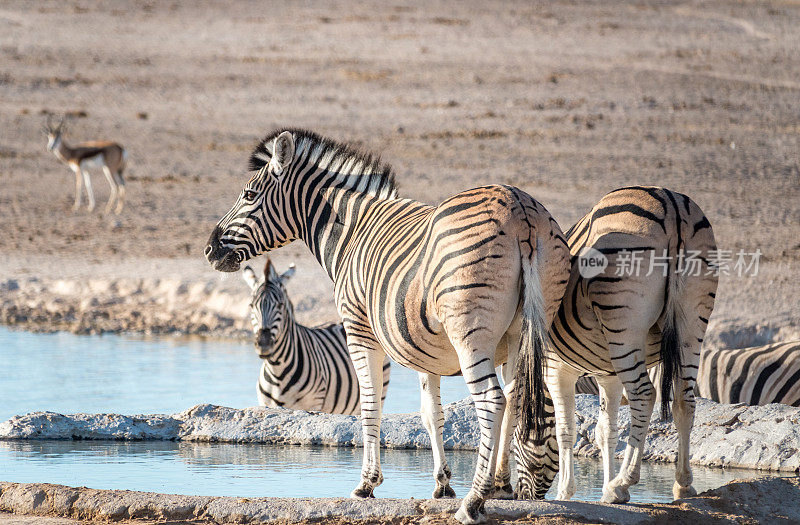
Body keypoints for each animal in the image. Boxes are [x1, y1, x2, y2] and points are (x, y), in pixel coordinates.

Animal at [244, 256, 394, 414]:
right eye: (251, 305)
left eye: (280, 305)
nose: (264, 344)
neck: (277, 370)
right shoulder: (266, 404)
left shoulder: (314, 404)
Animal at [532, 187, 720, 504]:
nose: (522, 494)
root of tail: (671, 204)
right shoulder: (608, 374)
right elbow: (606, 431)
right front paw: (602, 486)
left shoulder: (557, 370)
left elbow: (565, 429)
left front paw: (566, 492)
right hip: (692, 320)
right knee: (685, 399)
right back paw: (682, 484)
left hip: (624, 319)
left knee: (645, 394)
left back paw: (623, 483)